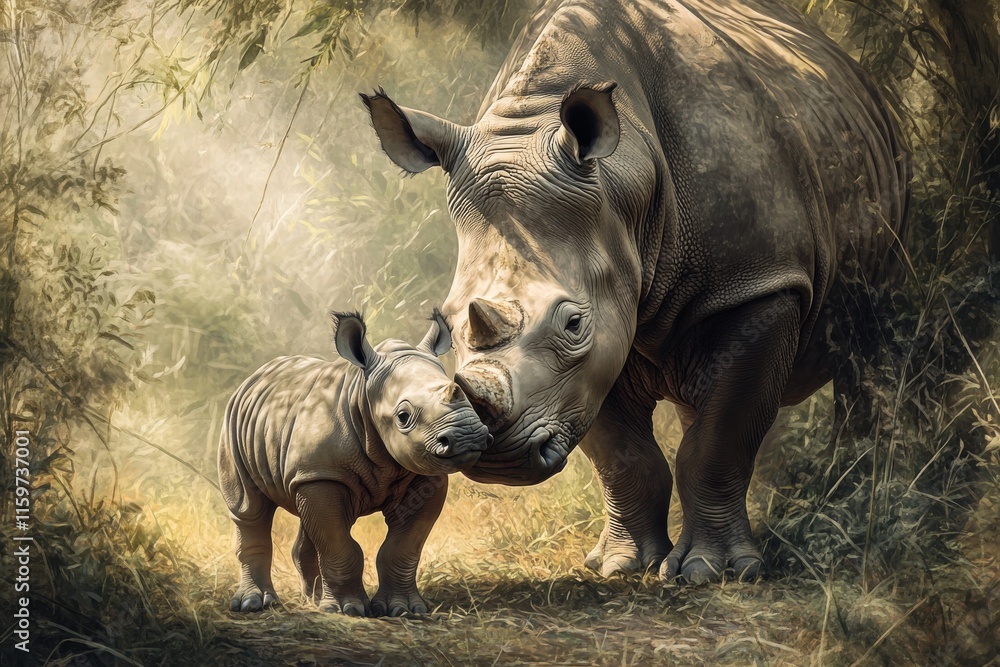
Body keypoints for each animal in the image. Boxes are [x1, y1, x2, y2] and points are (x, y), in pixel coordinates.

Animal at [218, 311, 491, 616]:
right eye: (403, 416)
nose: (467, 436)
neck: (363, 395)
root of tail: (255, 377)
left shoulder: (424, 477)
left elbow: (403, 548)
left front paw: (404, 609)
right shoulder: (323, 474)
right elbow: (339, 545)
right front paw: (346, 609)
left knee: (307, 514)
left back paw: (313, 600)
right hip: (235, 422)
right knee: (249, 509)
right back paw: (256, 604)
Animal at [362, 0, 909, 584]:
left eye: (573, 323)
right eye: (447, 321)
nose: (492, 457)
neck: (626, 182)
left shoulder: (761, 284)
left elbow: (719, 439)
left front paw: (711, 572)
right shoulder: (595, 352)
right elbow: (621, 454)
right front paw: (622, 566)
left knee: (871, 339)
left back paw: (853, 500)